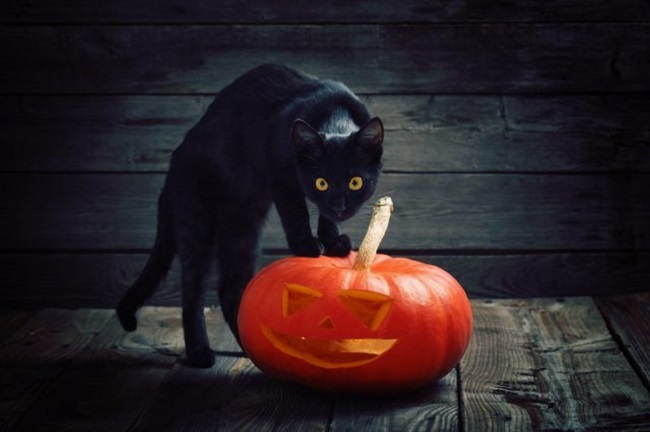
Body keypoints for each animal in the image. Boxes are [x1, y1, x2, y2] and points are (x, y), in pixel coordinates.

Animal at [116, 64, 382, 368]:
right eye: (321, 183)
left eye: (355, 182)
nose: (339, 206)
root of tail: (173, 166)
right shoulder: (280, 175)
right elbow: (297, 213)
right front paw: (307, 246)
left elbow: (323, 216)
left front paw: (334, 242)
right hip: (197, 221)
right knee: (193, 290)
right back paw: (200, 352)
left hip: (243, 229)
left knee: (230, 290)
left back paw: (250, 347)